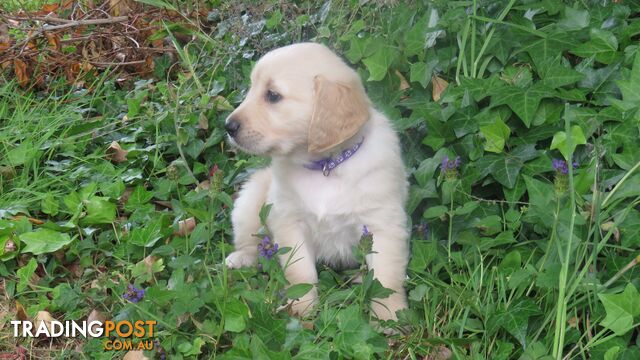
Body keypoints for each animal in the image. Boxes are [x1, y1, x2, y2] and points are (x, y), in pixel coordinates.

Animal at [222, 42, 408, 320]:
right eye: (251, 89)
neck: (325, 166)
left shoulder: (382, 224)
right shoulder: (289, 221)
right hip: (250, 200)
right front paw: (300, 312)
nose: (228, 126)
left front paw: (390, 318)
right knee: (249, 237)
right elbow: (300, 273)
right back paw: (242, 258)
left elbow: (386, 280)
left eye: (273, 95)